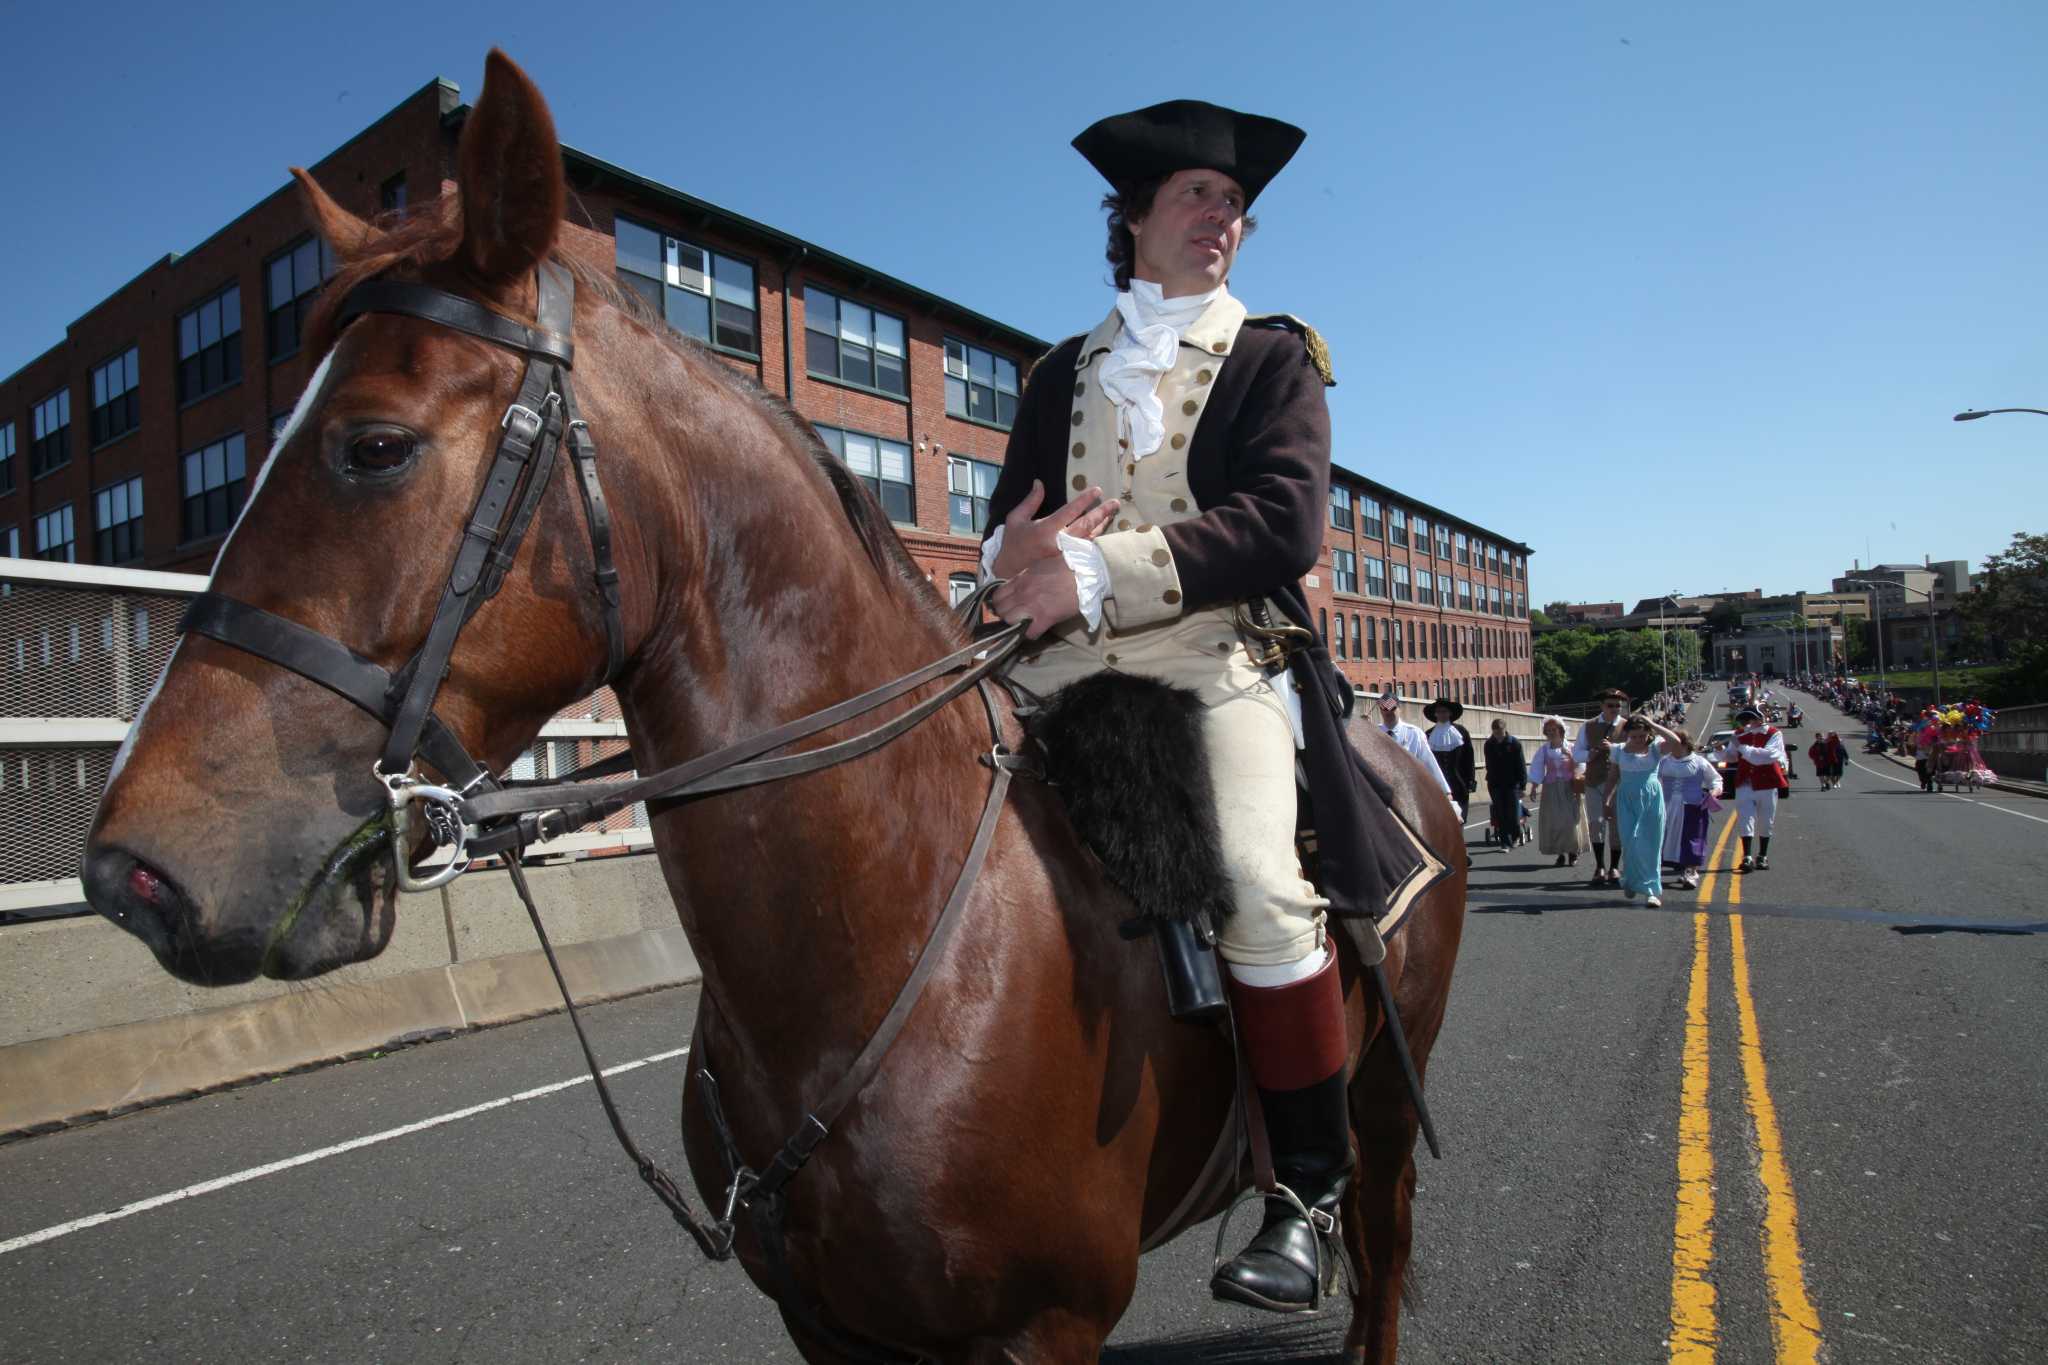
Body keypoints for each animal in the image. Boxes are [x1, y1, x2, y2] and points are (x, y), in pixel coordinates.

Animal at [75, 53, 1458, 1365]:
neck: (893, 940)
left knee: (1376, 1249)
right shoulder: (826, 1325)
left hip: (1386, 1111)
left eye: (375, 446)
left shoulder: (1040, 1328)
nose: (139, 872)